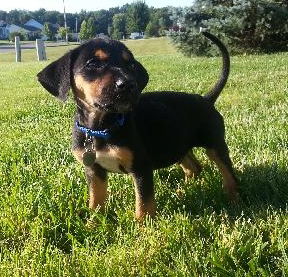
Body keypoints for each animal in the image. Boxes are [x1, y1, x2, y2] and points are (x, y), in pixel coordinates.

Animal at [37, 31, 237, 219]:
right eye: (93, 64)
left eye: (130, 65)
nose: (128, 84)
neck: (100, 128)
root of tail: (206, 99)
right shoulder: (94, 170)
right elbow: (96, 199)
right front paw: (93, 222)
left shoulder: (141, 167)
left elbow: (144, 203)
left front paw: (143, 226)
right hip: (176, 144)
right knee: (194, 167)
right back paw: (184, 192)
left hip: (214, 144)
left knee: (229, 174)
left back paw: (233, 198)